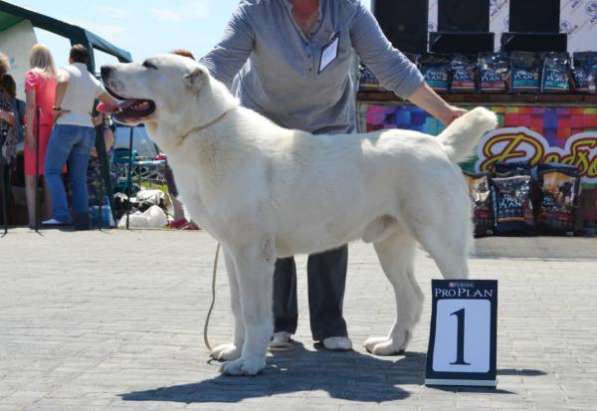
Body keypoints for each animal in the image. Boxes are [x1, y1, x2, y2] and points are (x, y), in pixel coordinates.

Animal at [100, 54, 496, 376]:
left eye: (149, 66)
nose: (104, 68)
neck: (202, 131)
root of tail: (439, 145)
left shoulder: (251, 252)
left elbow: (254, 311)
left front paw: (249, 364)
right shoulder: (231, 251)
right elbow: (236, 305)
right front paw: (235, 351)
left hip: (440, 240)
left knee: (461, 288)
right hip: (391, 245)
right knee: (411, 295)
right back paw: (391, 345)